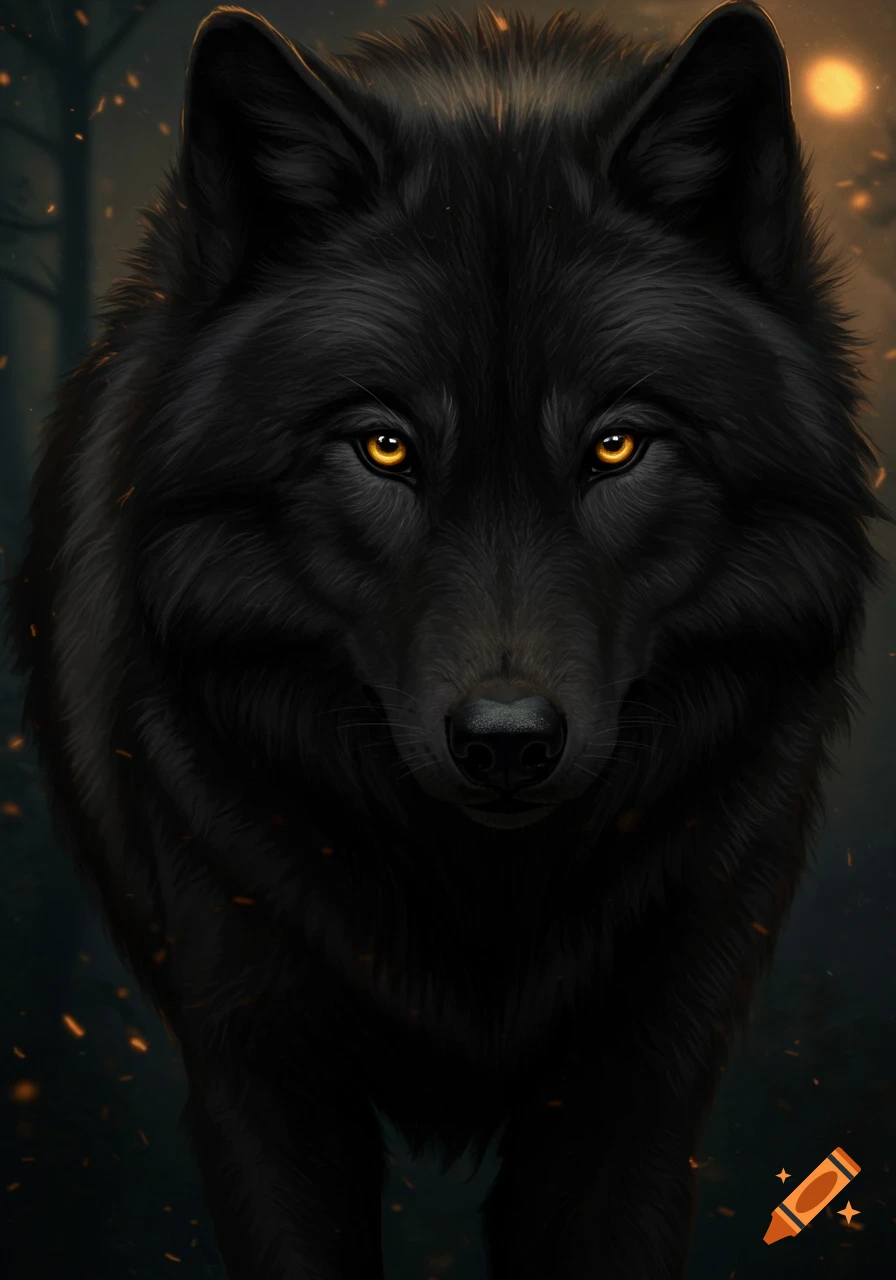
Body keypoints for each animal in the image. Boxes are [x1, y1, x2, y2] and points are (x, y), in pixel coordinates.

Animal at [6, 2, 884, 1277]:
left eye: (616, 444)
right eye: (383, 445)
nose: (506, 741)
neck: (482, 894)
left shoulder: (641, 1069)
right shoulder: (260, 1065)